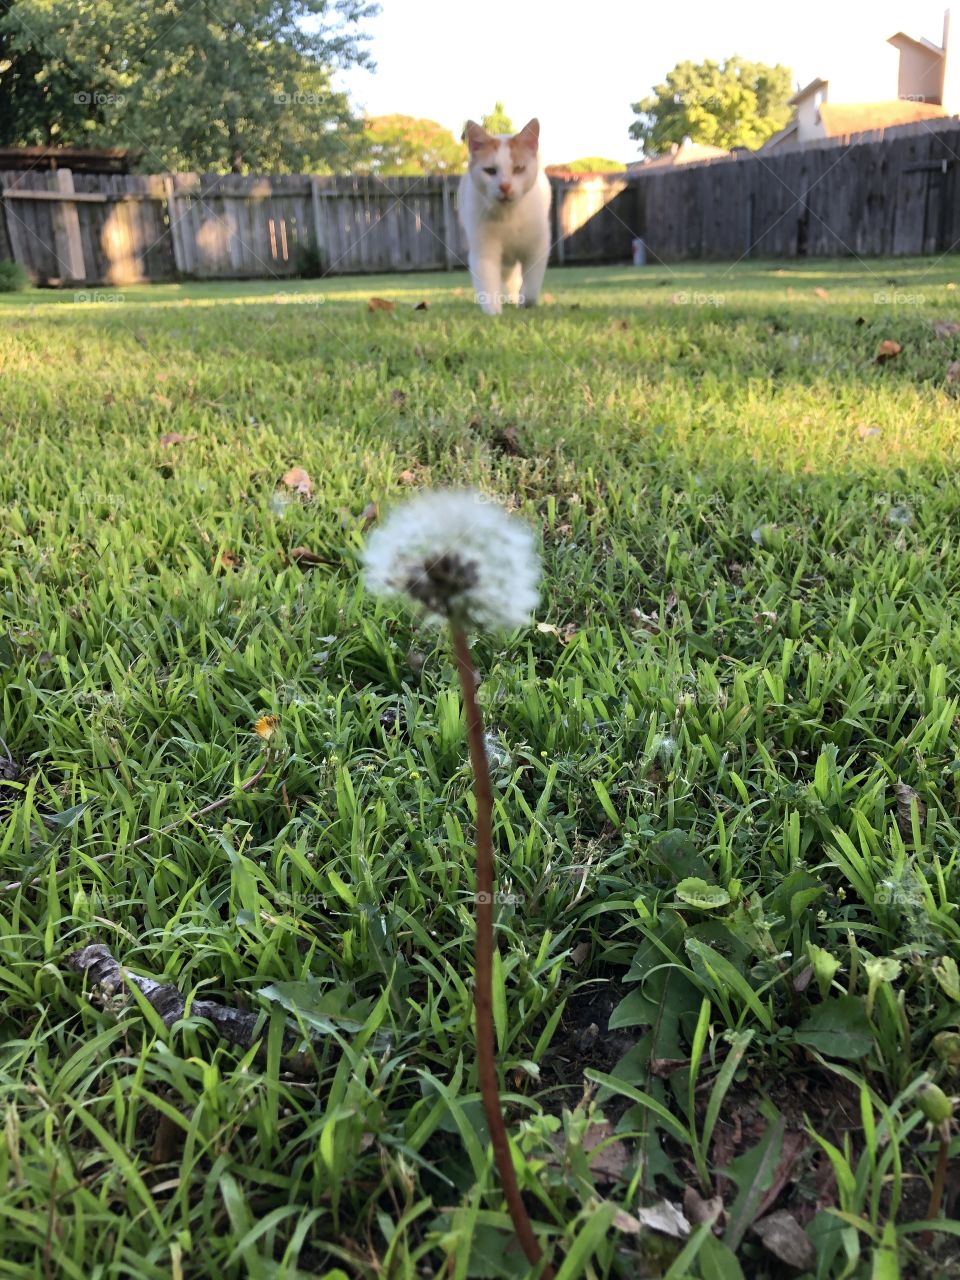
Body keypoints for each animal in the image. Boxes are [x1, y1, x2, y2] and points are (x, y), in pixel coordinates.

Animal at [460, 117, 552, 314]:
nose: (505, 186)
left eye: (519, 169)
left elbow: (531, 284)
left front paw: (527, 303)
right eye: (490, 171)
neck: (509, 216)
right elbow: (488, 282)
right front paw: (493, 312)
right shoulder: (484, 251)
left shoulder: (537, 248)